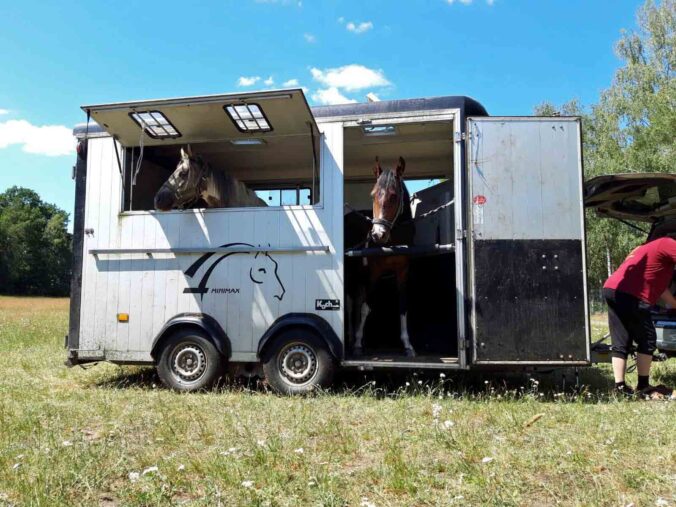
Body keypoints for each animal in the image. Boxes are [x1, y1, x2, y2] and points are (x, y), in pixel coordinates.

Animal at [352, 157, 414, 360]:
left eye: (394, 196)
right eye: (373, 195)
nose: (377, 234)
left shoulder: (403, 273)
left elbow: (403, 306)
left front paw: (407, 345)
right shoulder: (374, 273)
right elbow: (366, 308)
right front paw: (357, 344)